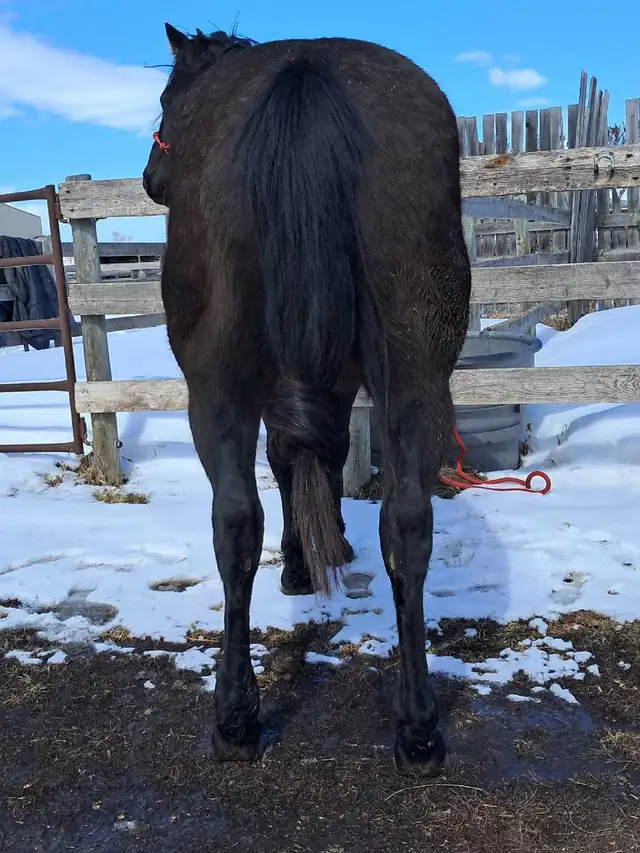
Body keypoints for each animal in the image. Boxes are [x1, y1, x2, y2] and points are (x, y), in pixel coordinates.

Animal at [143, 22, 471, 777]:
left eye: (168, 99)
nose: (150, 178)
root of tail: (304, 69)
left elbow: (290, 460)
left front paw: (302, 563)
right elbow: (317, 451)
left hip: (215, 384)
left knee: (236, 518)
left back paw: (234, 717)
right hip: (417, 373)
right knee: (406, 522)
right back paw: (418, 728)